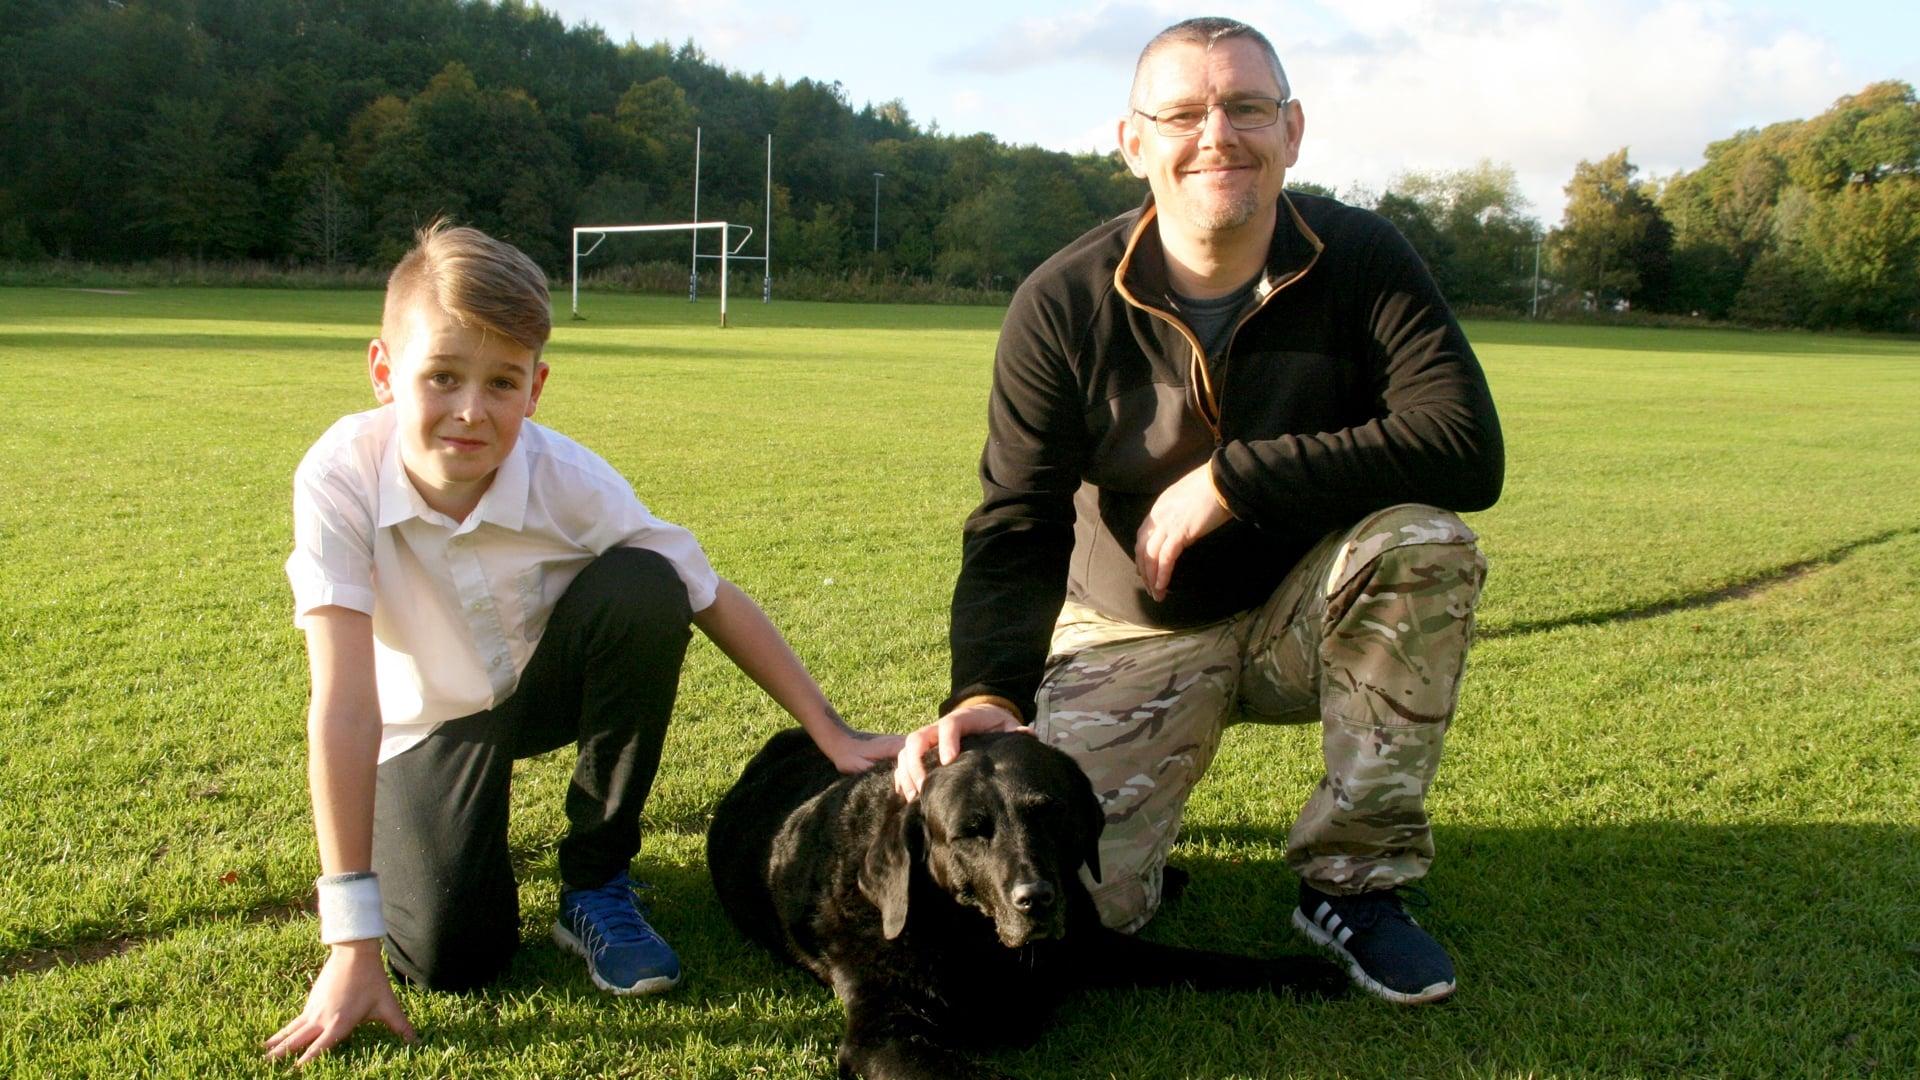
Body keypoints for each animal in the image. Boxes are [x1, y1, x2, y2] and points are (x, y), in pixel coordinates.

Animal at [702, 726, 1336, 1068]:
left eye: (1049, 812)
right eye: (970, 832)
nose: (1037, 899)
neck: (972, 939)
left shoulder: (1093, 943)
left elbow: (1202, 962)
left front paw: (1298, 971)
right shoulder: (885, 1034)